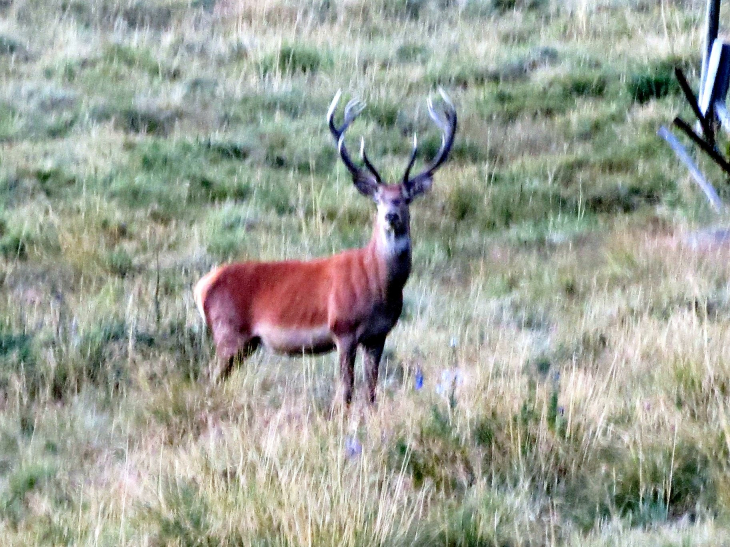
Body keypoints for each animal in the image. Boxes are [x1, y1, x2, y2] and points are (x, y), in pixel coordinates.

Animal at [193, 89, 456, 406]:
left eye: (406, 198)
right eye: (378, 199)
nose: (391, 216)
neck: (380, 285)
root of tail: (201, 286)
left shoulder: (378, 336)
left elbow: (371, 392)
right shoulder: (343, 328)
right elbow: (346, 389)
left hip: (245, 343)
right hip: (228, 333)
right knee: (208, 377)